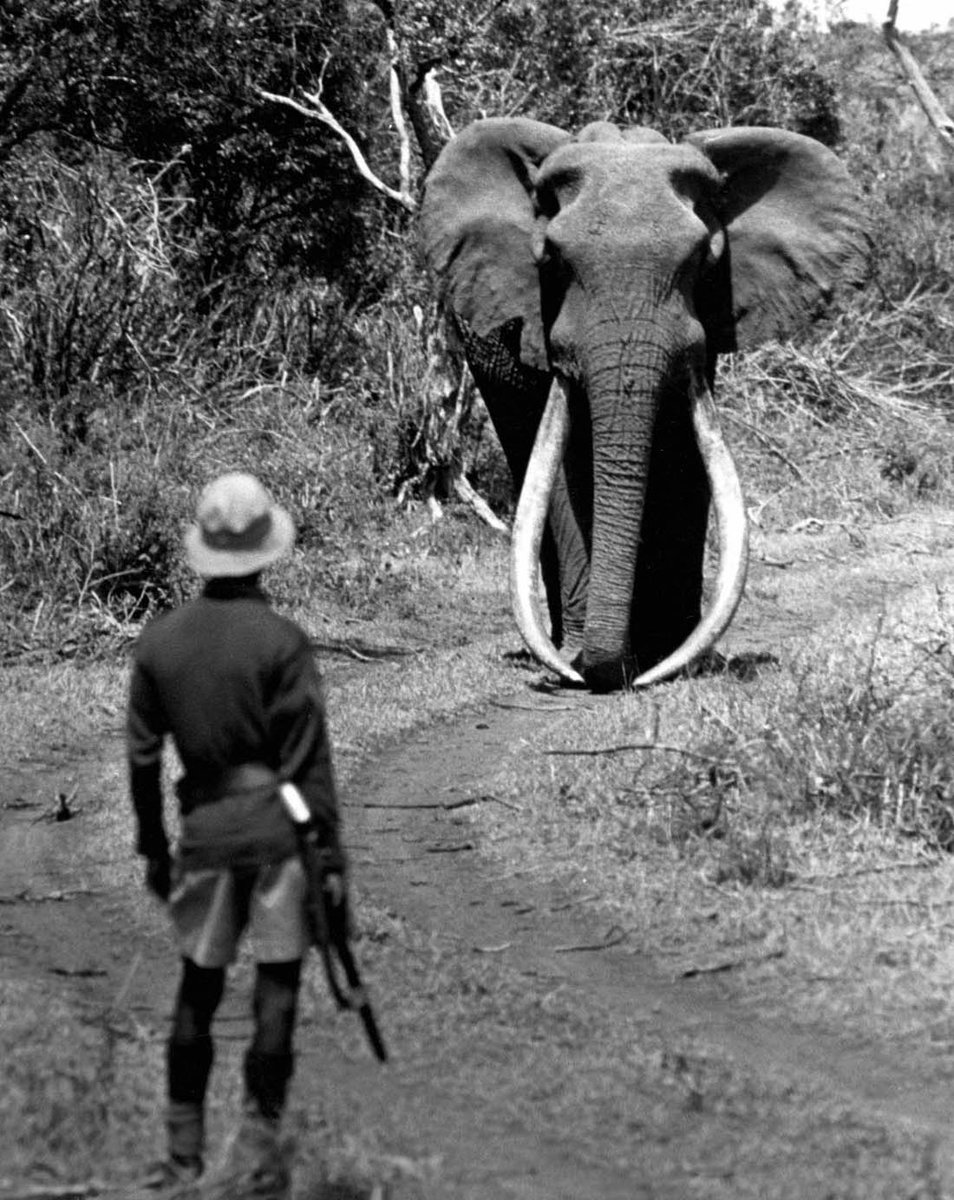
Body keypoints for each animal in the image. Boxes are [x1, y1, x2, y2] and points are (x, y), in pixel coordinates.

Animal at [422, 119, 868, 696]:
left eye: (702, 260)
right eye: (553, 260)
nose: (608, 673)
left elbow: (685, 458)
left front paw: (672, 657)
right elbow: (563, 477)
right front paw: (584, 661)